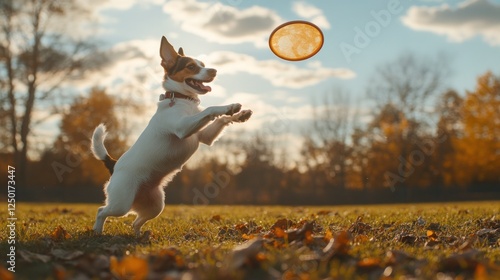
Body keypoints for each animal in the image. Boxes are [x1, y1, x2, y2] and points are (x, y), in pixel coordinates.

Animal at [90, 36, 252, 235]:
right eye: (191, 66)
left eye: (203, 64)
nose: (214, 70)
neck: (182, 100)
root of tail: (113, 165)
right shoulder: (183, 128)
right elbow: (210, 109)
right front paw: (227, 106)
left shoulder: (205, 137)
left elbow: (220, 120)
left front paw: (240, 114)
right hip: (121, 203)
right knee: (101, 211)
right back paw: (97, 231)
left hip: (156, 205)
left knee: (136, 222)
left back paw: (139, 236)